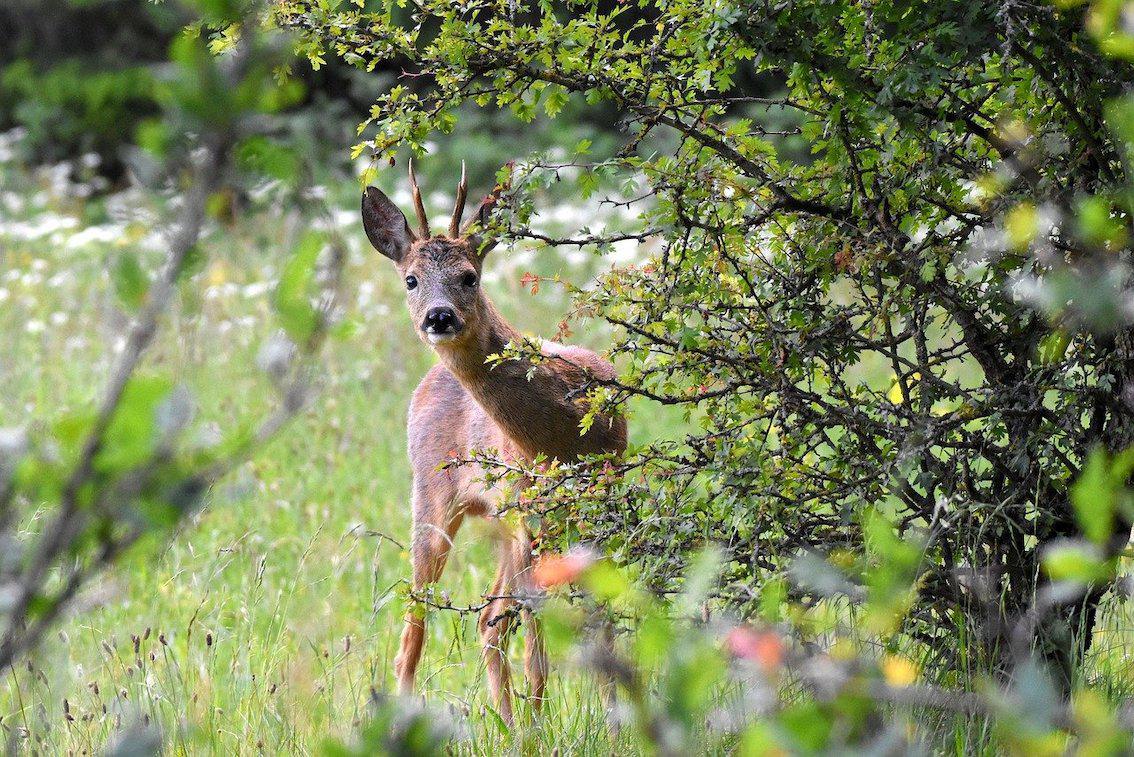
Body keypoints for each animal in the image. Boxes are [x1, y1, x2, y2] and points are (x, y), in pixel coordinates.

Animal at [360, 164, 630, 720]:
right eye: (410, 279)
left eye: (470, 276)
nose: (439, 316)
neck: (564, 433)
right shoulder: (531, 513)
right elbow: (535, 643)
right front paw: (540, 727)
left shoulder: (597, 502)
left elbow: (601, 623)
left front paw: (616, 722)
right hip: (433, 499)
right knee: (417, 629)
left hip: (504, 521)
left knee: (490, 621)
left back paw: (509, 723)